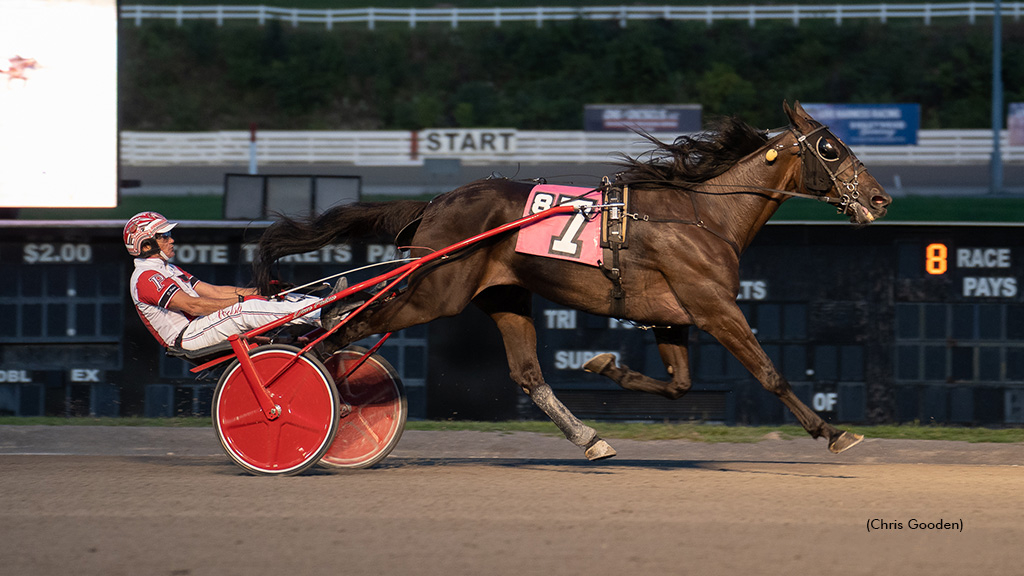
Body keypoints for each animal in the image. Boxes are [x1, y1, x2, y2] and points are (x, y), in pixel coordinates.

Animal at [258, 100, 897, 459]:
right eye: (831, 148)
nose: (880, 199)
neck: (703, 215)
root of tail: (436, 203)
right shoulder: (715, 307)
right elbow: (768, 372)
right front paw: (832, 431)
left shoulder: (673, 316)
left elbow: (679, 385)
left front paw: (605, 365)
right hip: (435, 291)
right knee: (342, 323)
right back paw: (305, 397)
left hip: (502, 295)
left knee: (526, 373)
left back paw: (590, 439)